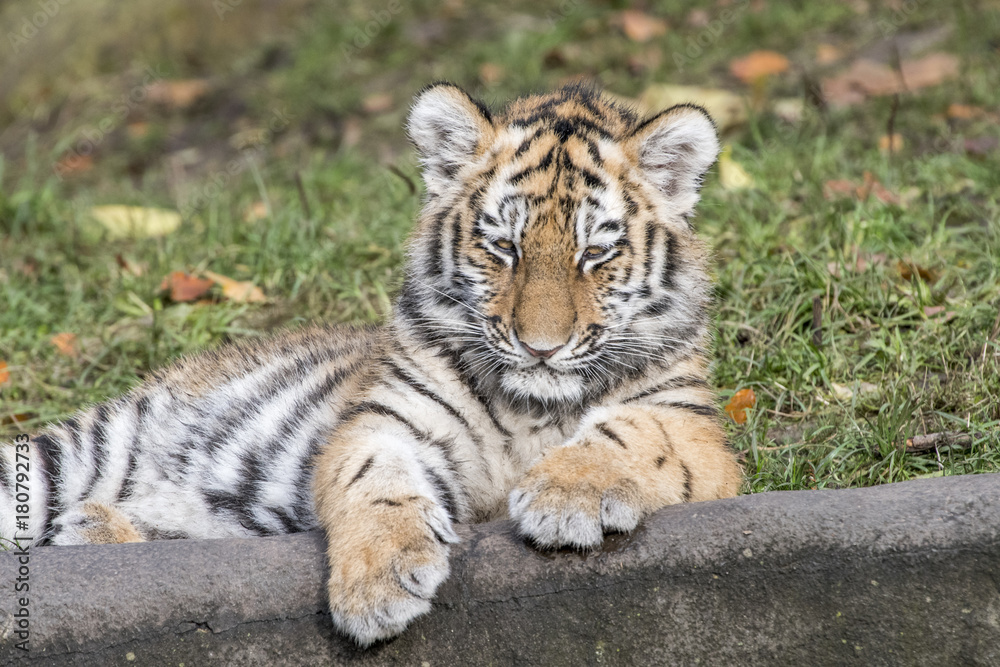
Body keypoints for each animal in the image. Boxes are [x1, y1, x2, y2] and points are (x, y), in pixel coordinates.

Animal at [0, 83, 742, 646]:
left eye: (595, 254)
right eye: (504, 247)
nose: (541, 346)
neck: (532, 404)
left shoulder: (695, 432)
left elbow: (634, 435)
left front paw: (568, 495)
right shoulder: (387, 419)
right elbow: (376, 481)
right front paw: (377, 586)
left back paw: (96, 529)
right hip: (73, 451)